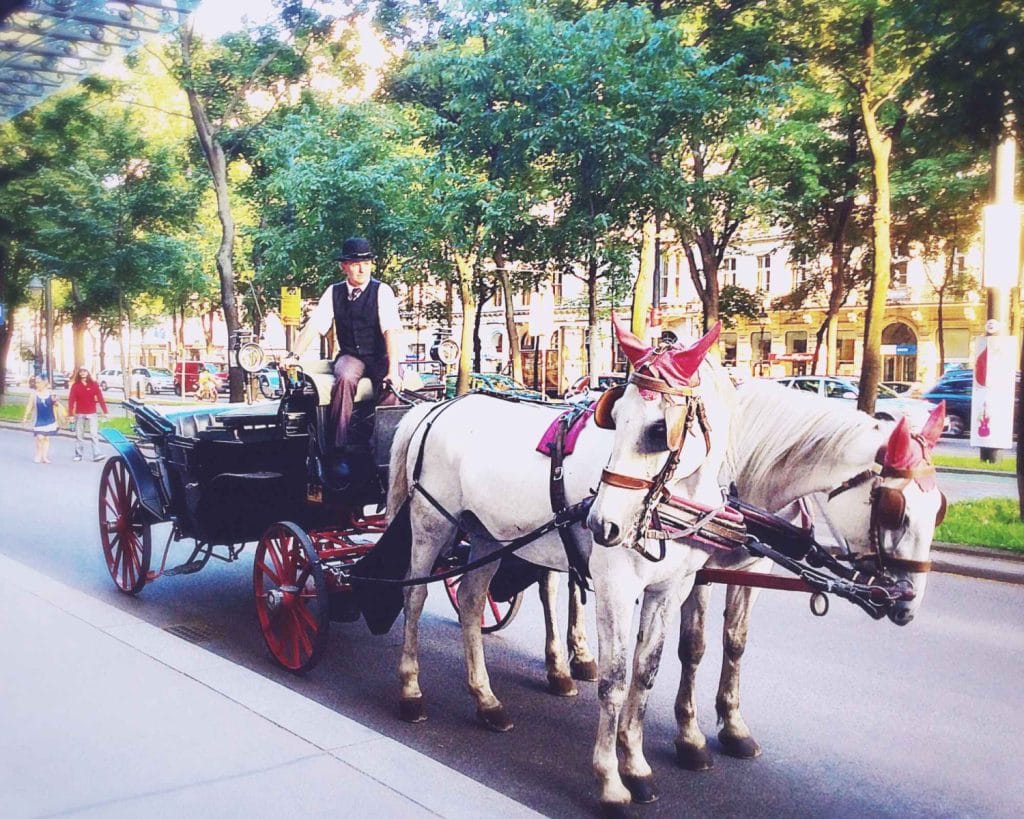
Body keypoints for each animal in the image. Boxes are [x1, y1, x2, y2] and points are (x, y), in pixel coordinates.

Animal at [387, 315, 733, 810]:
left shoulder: (670, 589)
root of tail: (437, 408)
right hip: (432, 524)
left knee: (471, 602)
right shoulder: (615, 588)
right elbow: (614, 679)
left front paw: (636, 766)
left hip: (486, 535)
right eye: (616, 420)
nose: (603, 524)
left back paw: (486, 701)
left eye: (656, 430)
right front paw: (610, 779)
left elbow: (645, 675)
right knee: (414, 597)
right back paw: (411, 691)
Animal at [675, 380, 946, 769]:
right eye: (896, 511)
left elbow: (736, 642)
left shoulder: (752, 570)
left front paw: (734, 726)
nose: (909, 603)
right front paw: (689, 736)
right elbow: (693, 646)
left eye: (940, 509)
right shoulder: (697, 575)